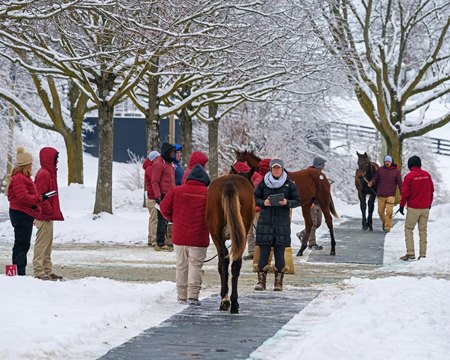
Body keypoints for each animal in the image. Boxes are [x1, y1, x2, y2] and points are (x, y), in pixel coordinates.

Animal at [206, 174, 255, 312]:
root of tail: (229, 182)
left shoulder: (219, 237)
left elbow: (221, 264)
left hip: (216, 234)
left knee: (224, 260)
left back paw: (226, 300)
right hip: (241, 236)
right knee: (236, 263)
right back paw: (234, 302)